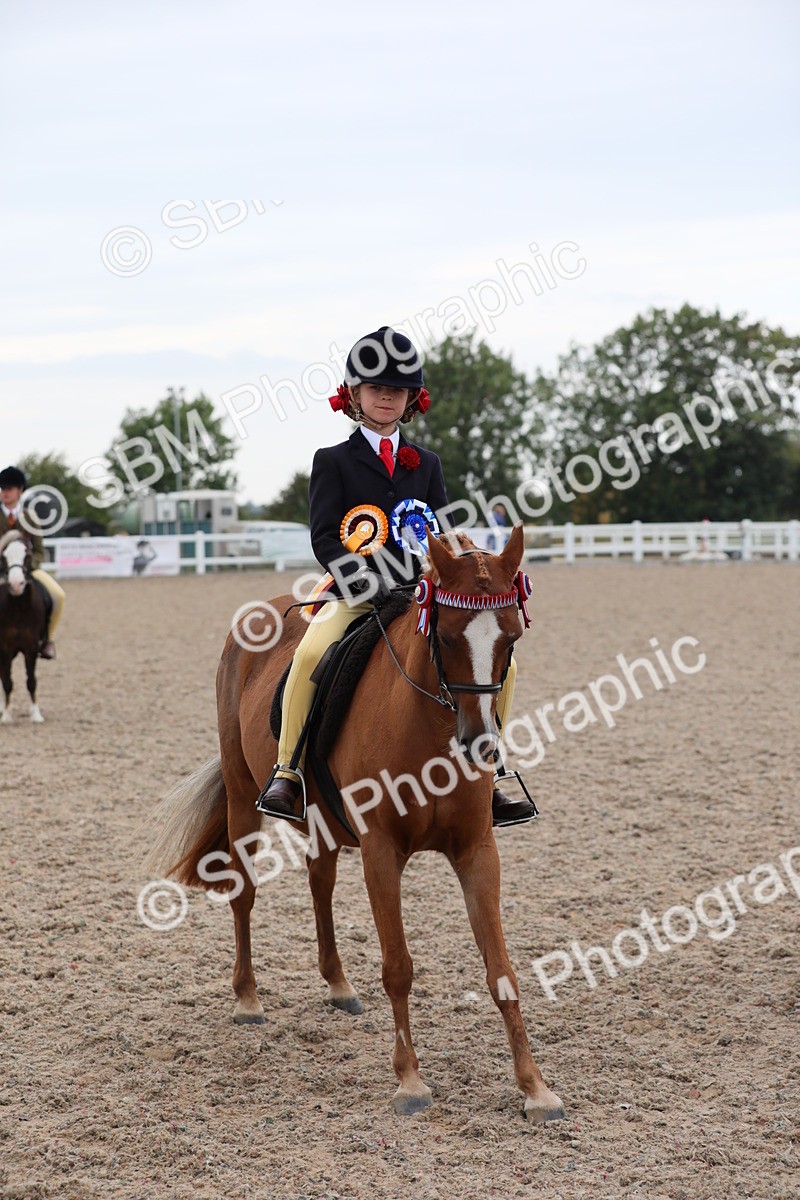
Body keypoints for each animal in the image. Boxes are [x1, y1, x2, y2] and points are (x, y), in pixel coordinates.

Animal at [147, 524, 565, 1122]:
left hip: (321, 821)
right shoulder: (380, 851)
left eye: (509, 640)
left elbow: (502, 970)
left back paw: (338, 985)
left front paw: (535, 1088)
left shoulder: (477, 851)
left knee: (319, 882)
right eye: (447, 637)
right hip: (243, 796)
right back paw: (247, 997)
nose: (479, 745)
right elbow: (398, 966)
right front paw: (410, 1081)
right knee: (244, 892)